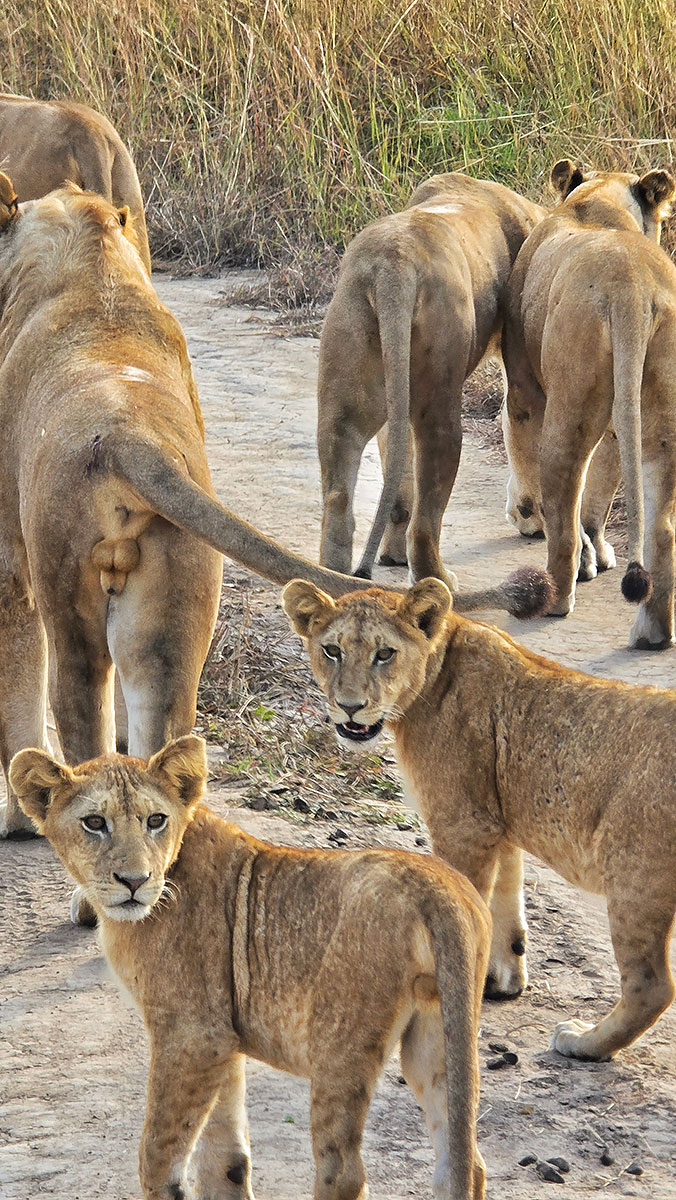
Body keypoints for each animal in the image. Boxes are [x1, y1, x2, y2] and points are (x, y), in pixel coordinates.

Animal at [9, 735, 490, 1200]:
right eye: (94, 823)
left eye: (155, 820)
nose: (134, 881)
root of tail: (438, 887)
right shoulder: (223, 1039)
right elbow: (224, 1157)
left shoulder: (192, 1033)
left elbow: (158, 1154)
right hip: (437, 1035)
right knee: (465, 1162)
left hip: (339, 1043)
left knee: (344, 1171)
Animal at [283, 577, 676, 1062]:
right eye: (332, 650)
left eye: (385, 653)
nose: (350, 706)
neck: (433, 673)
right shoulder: (496, 820)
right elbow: (506, 898)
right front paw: (503, 980)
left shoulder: (463, 824)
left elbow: (465, 904)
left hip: (635, 873)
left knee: (650, 985)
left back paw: (584, 1042)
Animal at [317, 172, 544, 583]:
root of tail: (393, 268)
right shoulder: (522, 364)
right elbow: (523, 426)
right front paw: (532, 520)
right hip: (440, 390)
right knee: (426, 515)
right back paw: (435, 576)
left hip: (350, 356)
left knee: (340, 490)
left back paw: (333, 575)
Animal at [501, 160, 676, 647]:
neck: (598, 201)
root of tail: (632, 287)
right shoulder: (620, 421)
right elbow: (600, 493)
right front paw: (597, 551)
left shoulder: (524, 388)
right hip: (659, 416)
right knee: (661, 528)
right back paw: (653, 631)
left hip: (569, 401)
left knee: (562, 500)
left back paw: (554, 597)